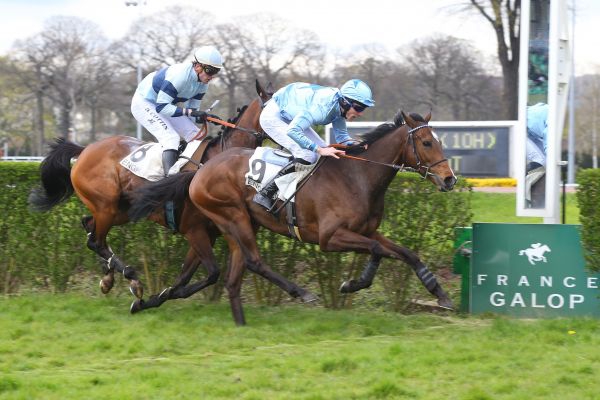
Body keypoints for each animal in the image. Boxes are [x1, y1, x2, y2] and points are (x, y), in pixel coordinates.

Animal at [27, 79, 274, 310]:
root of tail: (85, 149)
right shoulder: (193, 229)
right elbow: (211, 272)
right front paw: (157, 296)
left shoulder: (208, 232)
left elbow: (200, 274)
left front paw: (161, 296)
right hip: (106, 206)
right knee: (96, 240)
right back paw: (132, 279)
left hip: (120, 210)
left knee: (90, 229)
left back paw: (109, 278)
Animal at [129, 110, 460, 324]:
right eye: (427, 143)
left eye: (440, 141)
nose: (450, 179)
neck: (356, 176)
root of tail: (200, 170)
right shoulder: (330, 237)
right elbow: (378, 251)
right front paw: (352, 284)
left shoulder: (367, 231)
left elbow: (406, 253)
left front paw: (440, 294)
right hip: (232, 216)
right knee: (253, 261)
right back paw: (301, 293)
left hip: (237, 223)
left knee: (235, 273)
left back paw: (236, 321)